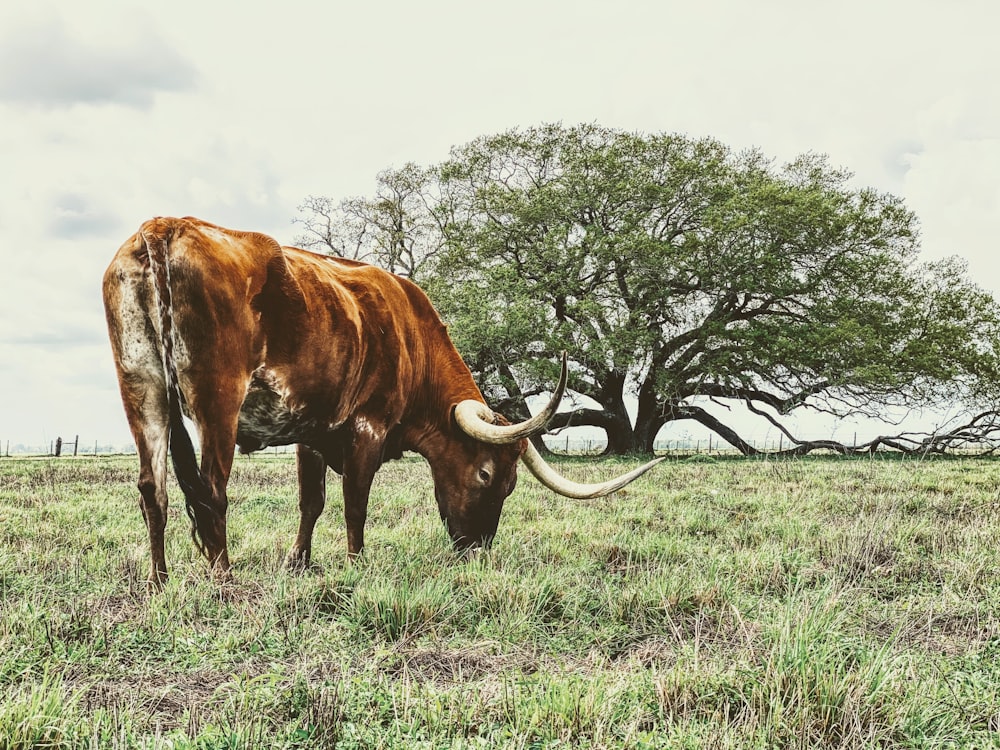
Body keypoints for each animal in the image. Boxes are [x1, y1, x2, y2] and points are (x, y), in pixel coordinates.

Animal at [103, 217, 664, 588]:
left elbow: (311, 502)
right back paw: (223, 578)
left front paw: (299, 563)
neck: (411, 337)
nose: (476, 551)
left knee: (153, 488)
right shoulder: (367, 426)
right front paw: (356, 564)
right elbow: (355, 502)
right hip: (217, 396)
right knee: (211, 488)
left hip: (142, 390)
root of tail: (164, 226)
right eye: (487, 476)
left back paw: (158, 580)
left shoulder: (311, 430)